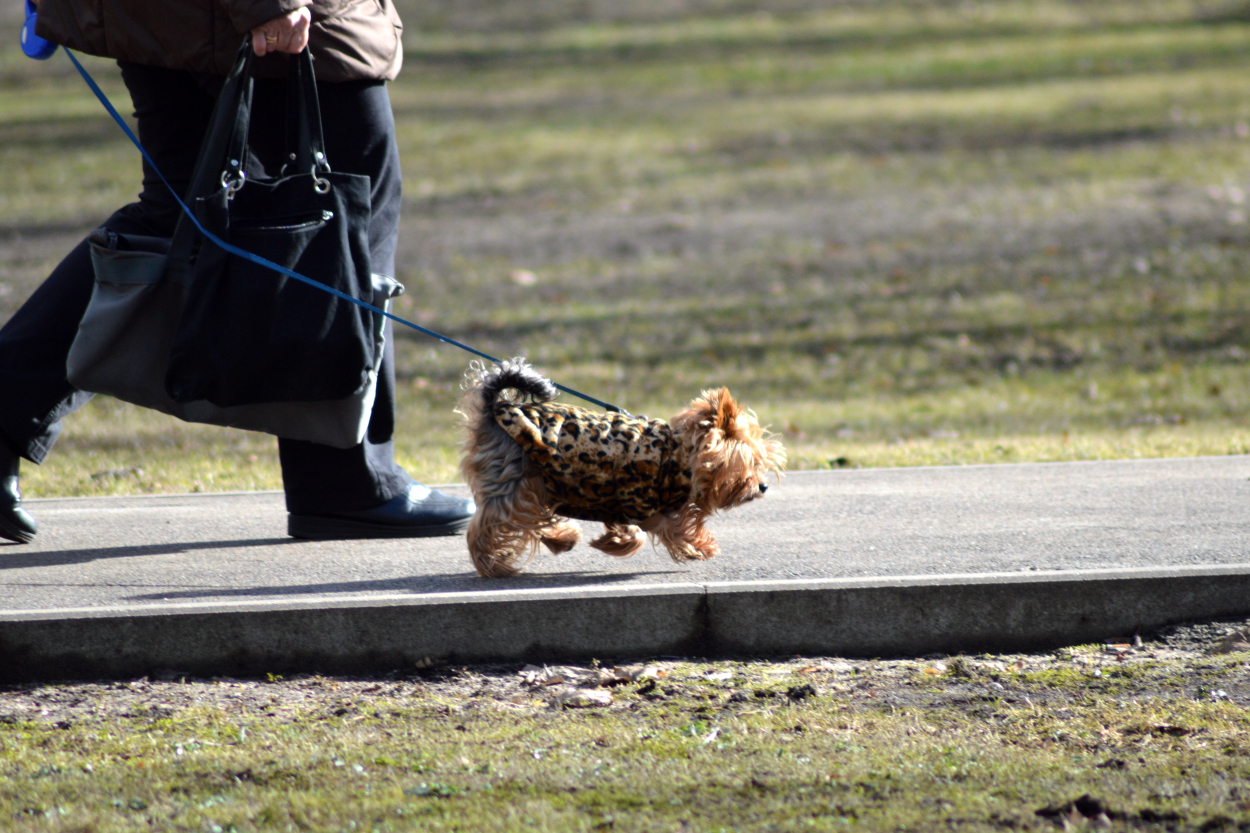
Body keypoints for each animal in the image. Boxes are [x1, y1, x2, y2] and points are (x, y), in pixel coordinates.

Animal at [455, 357, 785, 577]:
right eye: (749, 463)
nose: (763, 486)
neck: (677, 456)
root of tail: (497, 408)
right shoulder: (640, 500)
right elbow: (669, 526)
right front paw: (700, 546)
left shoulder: (616, 498)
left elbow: (633, 530)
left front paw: (614, 541)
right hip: (514, 476)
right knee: (496, 521)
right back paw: (494, 565)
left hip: (535, 479)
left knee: (530, 517)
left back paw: (560, 538)